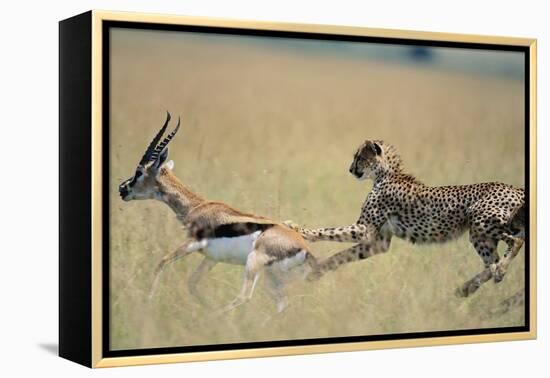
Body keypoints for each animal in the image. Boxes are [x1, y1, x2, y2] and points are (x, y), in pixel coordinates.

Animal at [286, 140, 528, 296]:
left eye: (359, 157)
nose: (350, 169)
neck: (385, 174)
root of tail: (516, 188)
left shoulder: (365, 229)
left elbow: (328, 231)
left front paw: (297, 229)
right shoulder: (378, 242)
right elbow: (342, 255)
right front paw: (317, 271)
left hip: (481, 221)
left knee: (516, 242)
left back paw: (497, 271)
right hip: (480, 236)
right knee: (491, 263)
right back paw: (468, 287)